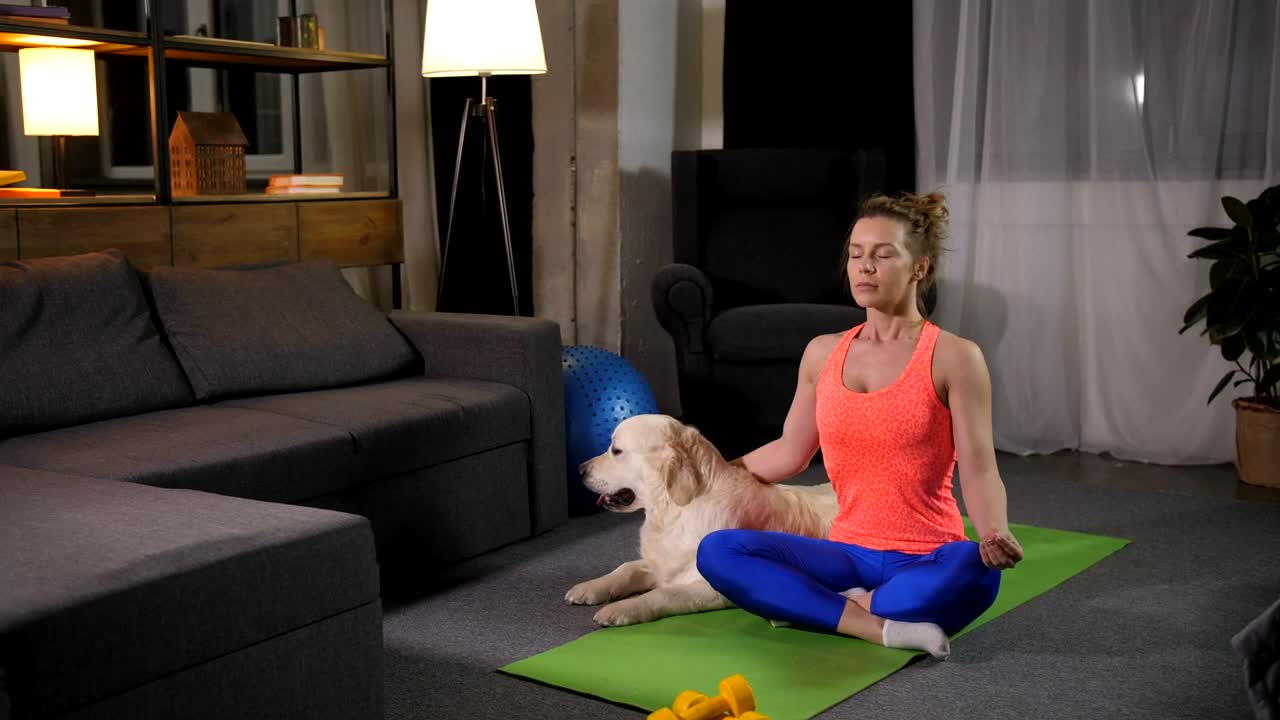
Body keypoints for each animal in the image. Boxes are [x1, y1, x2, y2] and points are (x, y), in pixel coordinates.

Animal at [563, 412, 839, 625]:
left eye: (616, 450)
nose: (580, 470)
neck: (676, 510)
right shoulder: (662, 563)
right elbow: (626, 568)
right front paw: (590, 587)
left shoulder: (714, 586)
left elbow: (664, 594)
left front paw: (621, 609)